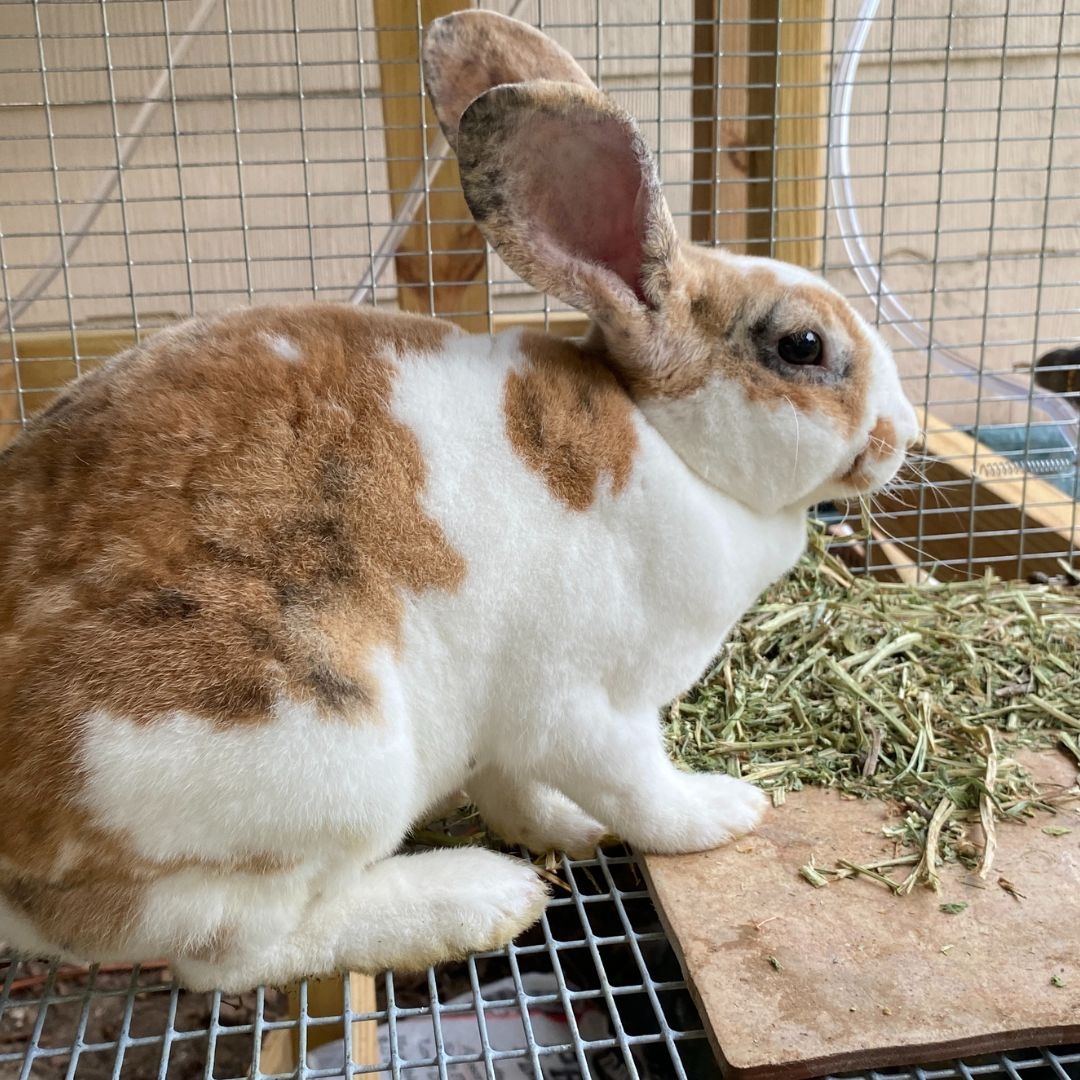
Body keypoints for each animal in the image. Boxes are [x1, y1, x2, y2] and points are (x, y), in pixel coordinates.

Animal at [0, 10, 918, 993]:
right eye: (803, 346)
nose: (902, 432)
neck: (669, 446)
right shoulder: (584, 706)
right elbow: (642, 790)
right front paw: (725, 812)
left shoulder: (514, 731)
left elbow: (518, 788)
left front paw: (568, 829)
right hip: (319, 759)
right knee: (236, 954)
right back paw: (480, 900)